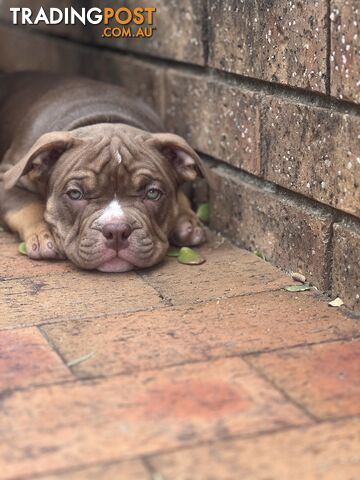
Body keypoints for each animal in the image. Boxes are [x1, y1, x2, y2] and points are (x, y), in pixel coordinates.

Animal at [0, 72, 208, 272]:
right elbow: (27, 204)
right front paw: (45, 233)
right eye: (75, 194)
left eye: (152, 193)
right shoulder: (6, 178)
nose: (116, 231)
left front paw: (185, 219)